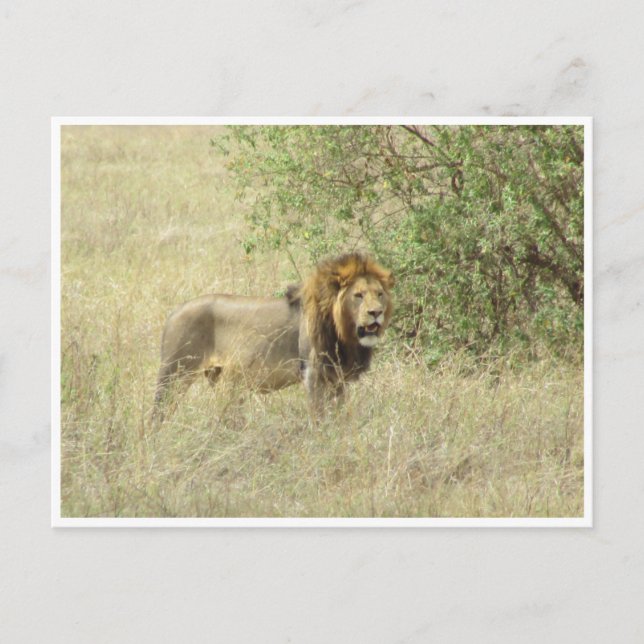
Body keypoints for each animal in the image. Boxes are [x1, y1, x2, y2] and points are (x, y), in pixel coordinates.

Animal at [153, 252, 394, 421]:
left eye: (379, 294)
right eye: (358, 295)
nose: (376, 313)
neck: (343, 330)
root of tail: (173, 313)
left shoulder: (336, 377)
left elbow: (339, 411)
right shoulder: (312, 371)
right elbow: (318, 414)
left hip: (219, 377)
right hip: (174, 374)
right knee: (158, 415)